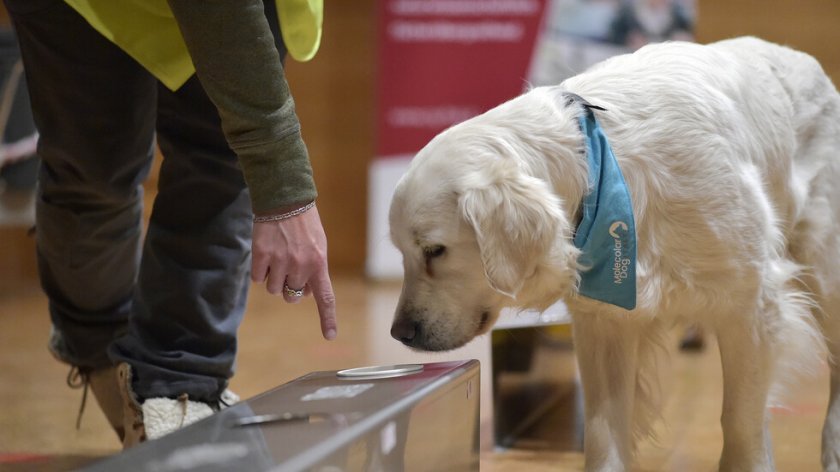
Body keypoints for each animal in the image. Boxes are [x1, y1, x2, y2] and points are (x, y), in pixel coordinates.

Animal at [388, 37, 840, 472]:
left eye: (434, 251)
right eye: (403, 252)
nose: (399, 334)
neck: (601, 165)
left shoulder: (751, 308)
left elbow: (741, 422)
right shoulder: (605, 321)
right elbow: (603, 430)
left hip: (825, 273)